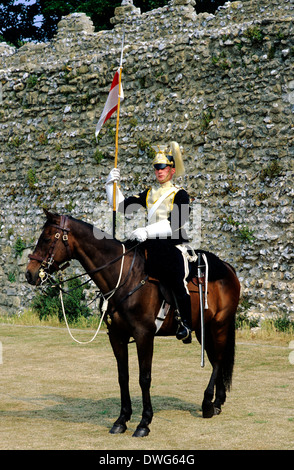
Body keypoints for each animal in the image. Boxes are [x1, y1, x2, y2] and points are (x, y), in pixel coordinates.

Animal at [25, 209, 240, 436]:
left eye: (46, 238)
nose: (29, 273)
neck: (123, 277)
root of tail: (228, 268)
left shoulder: (144, 336)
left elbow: (144, 378)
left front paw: (144, 422)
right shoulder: (117, 336)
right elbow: (123, 377)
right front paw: (122, 419)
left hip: (219, 325)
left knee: (218, 360)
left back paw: (207, 403)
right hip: (203, 329)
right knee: (216, 359)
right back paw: (217, 402)